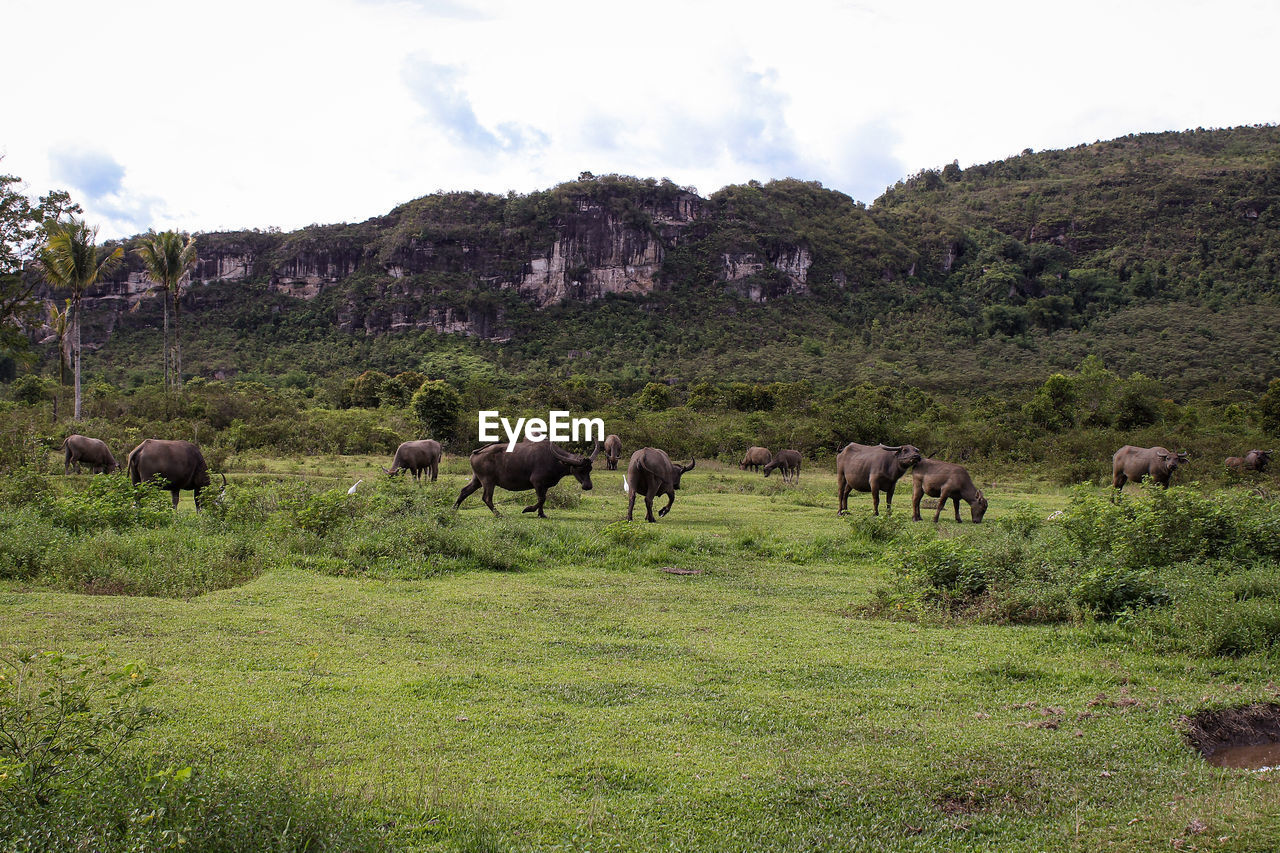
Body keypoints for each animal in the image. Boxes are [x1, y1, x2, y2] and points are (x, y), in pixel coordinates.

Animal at [455, 438, 599, 517]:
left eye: (589, 469)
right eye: (579, 469)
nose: (588, 486)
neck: (555, 460)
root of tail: (476, 452)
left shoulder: (545, 485)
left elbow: (543, 499)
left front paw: (541, 514)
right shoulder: (537, 482)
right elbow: (541, 499)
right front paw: (527, 509)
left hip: (477, 480)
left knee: (464, 491)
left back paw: (453, 509)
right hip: (488, 481)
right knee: (486, 498)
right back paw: (499, 514)